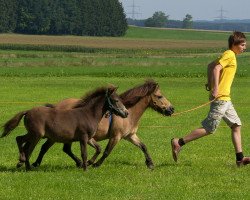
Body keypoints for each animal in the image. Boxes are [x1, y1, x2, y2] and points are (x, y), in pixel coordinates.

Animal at [0, 85, 128, 171]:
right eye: (116, 100)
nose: (126, 113)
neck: (88, 114)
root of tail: (27, 112)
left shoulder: (89, 138)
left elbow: (98, 148)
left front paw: (90, 163)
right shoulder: (83, 137)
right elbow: (84, 153)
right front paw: (85, 168)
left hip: (33, 134)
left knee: (21, 141)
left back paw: (23, 162)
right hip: (36, 135)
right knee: (26, 147)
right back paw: (27, 166)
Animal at [32, 79, 175, 169]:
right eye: (160, 96)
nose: (171, 109)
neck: (128, 112)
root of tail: (56, 106)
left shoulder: (130, 136)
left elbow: (143, 146)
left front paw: (150, 163)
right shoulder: (115, 137)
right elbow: (106, 151)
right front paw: (95, 164)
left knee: (62, 149)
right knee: (47, 147)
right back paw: (37, 163)